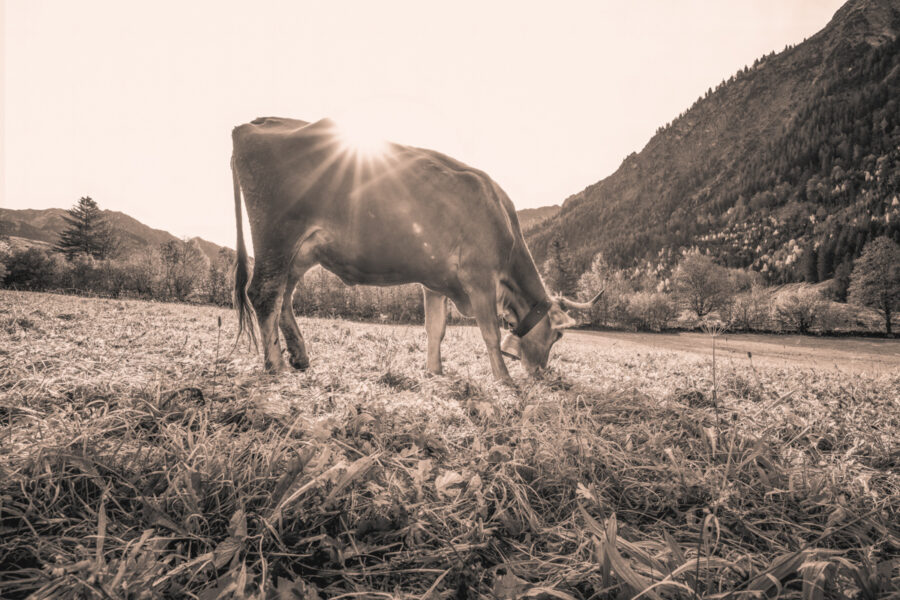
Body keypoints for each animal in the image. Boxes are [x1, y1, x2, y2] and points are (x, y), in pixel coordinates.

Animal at [232, 116, 600, 384]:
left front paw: (434, 371)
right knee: (265, 293)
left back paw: (300, 356)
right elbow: (490, 332)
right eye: (557, 337)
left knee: (284, 297)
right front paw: (504, 380)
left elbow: (435, 329)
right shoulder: (480, 277)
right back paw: (275, 365)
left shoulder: (436, 282)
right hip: (277, 236)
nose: (541, 374)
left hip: (300, 252)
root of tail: (256, 123)